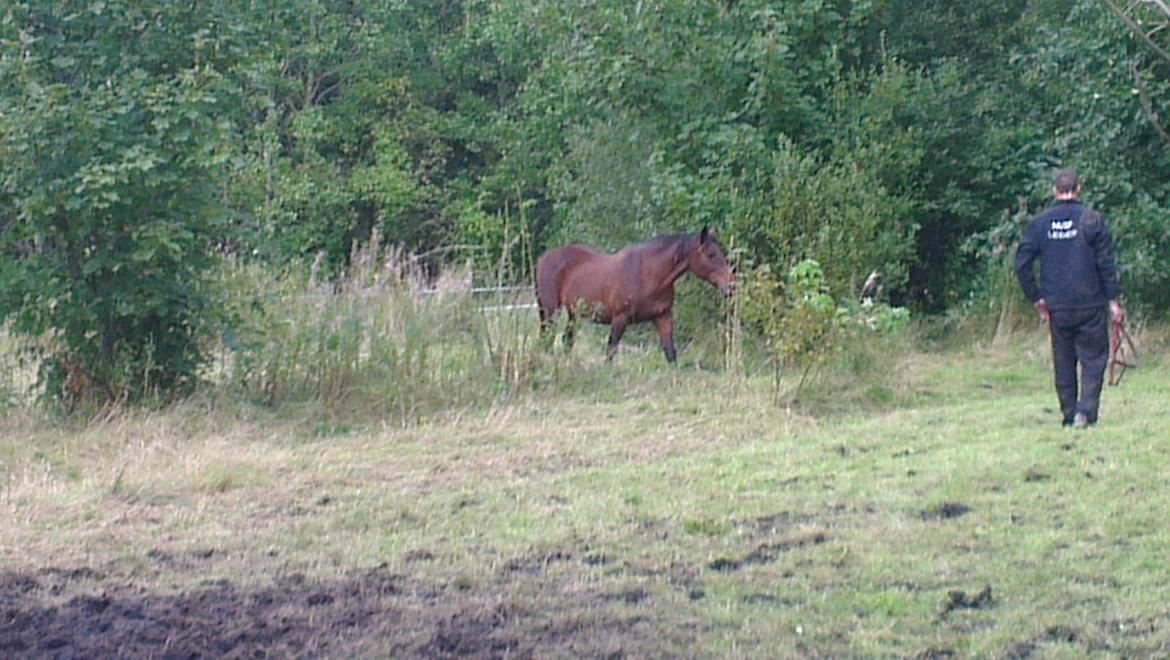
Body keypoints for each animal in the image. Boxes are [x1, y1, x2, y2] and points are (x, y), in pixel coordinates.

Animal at [535, 227, 730, 360]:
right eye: (710, 255)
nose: (730, 286)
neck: (648, 274)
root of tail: (544, 258)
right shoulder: (620, 319)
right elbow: (611, 350)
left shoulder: (663, 317)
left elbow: (670, 352)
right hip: (550, 312)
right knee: (547, 338)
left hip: (572, 314)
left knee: (566, 340)